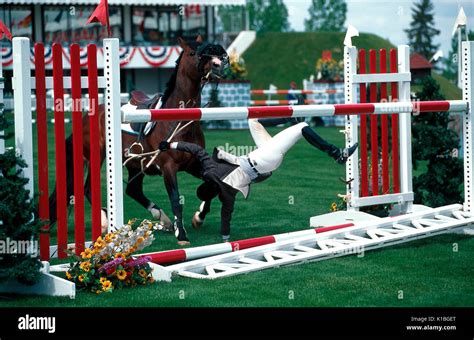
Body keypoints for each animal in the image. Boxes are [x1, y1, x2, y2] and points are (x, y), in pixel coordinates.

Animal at [51, 36, 229, 244]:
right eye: (194, 53)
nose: (218, 65)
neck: (179, 120)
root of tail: (87, 116)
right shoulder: (168, 167)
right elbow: (176, 199)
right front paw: (182, 234)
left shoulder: (192, 164)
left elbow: (214, 184)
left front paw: (198, 218)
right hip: (99, 157)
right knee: (88, 188)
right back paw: (106, 221)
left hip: (136, 164)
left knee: (133, 190)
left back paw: (163, 219)